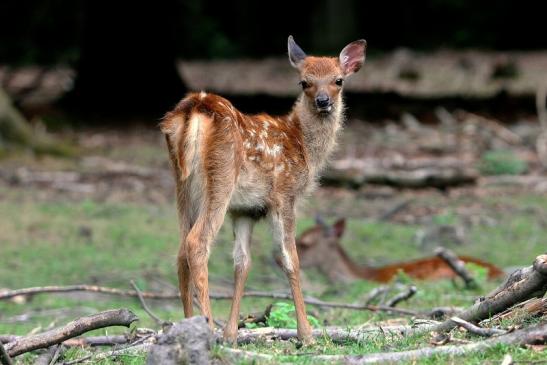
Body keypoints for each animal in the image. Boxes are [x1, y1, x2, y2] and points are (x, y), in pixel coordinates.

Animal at [161, 35, 366, 342]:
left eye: (338, 80)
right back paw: (207, 328)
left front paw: (231, 334)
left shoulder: (245, 210)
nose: (323, 101)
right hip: (221, 178)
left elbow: (242, 263)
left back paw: (188, 326)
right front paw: (306, 334)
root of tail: (194, 109)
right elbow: (290, 259)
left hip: (182, 185)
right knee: (197, 243)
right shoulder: (285, 195)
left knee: (180, 250)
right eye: (304, 82)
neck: (303, 148)